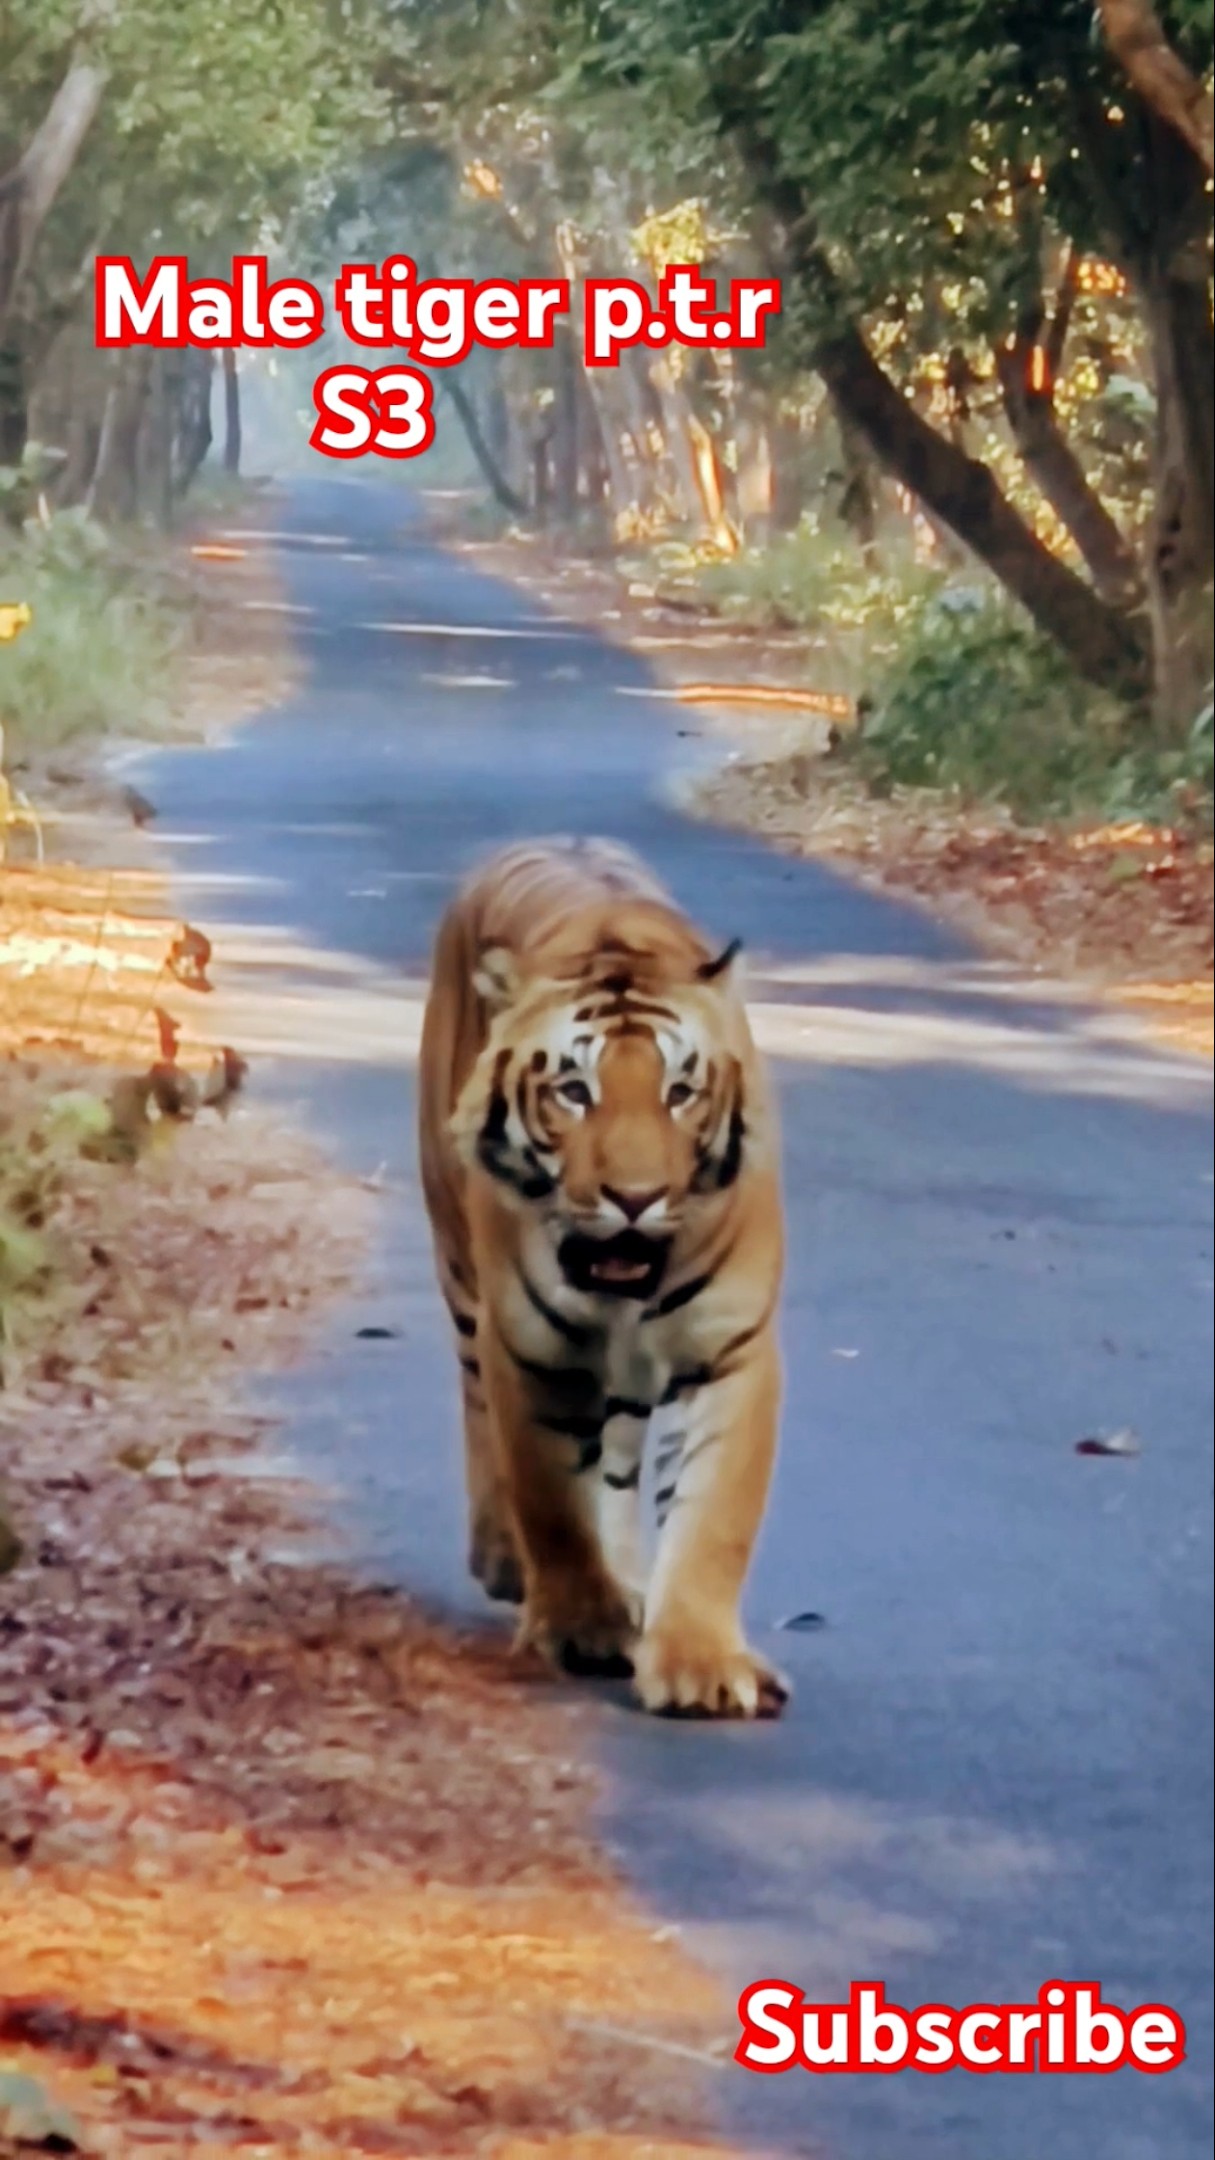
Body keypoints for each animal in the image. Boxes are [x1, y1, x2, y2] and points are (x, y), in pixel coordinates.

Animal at [417, 836, 788, 1719]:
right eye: (573, 1092)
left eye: (679, 1091)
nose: (634, 1197)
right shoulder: (531, 1348)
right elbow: (553, 1501)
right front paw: (583, 1627)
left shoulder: (730, 1349)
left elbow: (712, 1516)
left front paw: (696, 1665)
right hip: (460, 1272)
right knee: (479, 1408)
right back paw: (508, 1562)